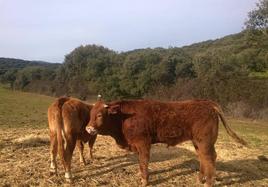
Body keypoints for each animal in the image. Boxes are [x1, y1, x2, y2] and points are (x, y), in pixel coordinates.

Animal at [86, 98, 247, 186]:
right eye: (90, 114)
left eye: (100, 115)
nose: (88, 128)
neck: (123, 118)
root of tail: (207, 103)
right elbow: (140, 163)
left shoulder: (143, 143)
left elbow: (143, 162)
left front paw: (144, 181)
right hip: (198, 142)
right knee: (203, 158)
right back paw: (200, 179)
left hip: (205, 142)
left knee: (210, 158)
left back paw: (208, 183)